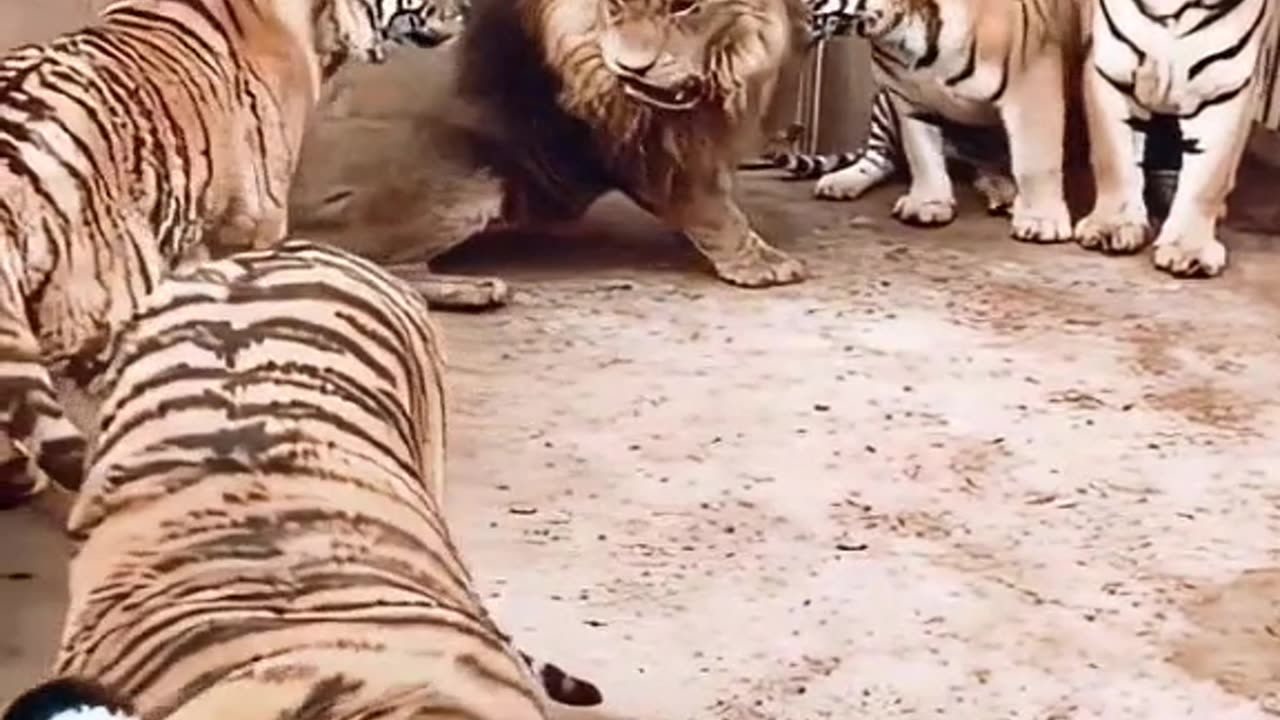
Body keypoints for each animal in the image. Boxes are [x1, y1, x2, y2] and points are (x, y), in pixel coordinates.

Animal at [768, 0, 1087, 238]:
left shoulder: (1033, 82)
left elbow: (1036, 160)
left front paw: (1041, 220)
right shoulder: (907, 97)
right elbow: (921, 154)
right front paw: (929, 203)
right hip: (882, 101)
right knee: (879, 157)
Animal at [1074, 0, 1279, 277]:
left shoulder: (1224, 88)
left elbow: (1208, 180)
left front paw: (1189, 249)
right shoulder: (1111, 70)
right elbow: (1113, 158)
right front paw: (1112, 224)